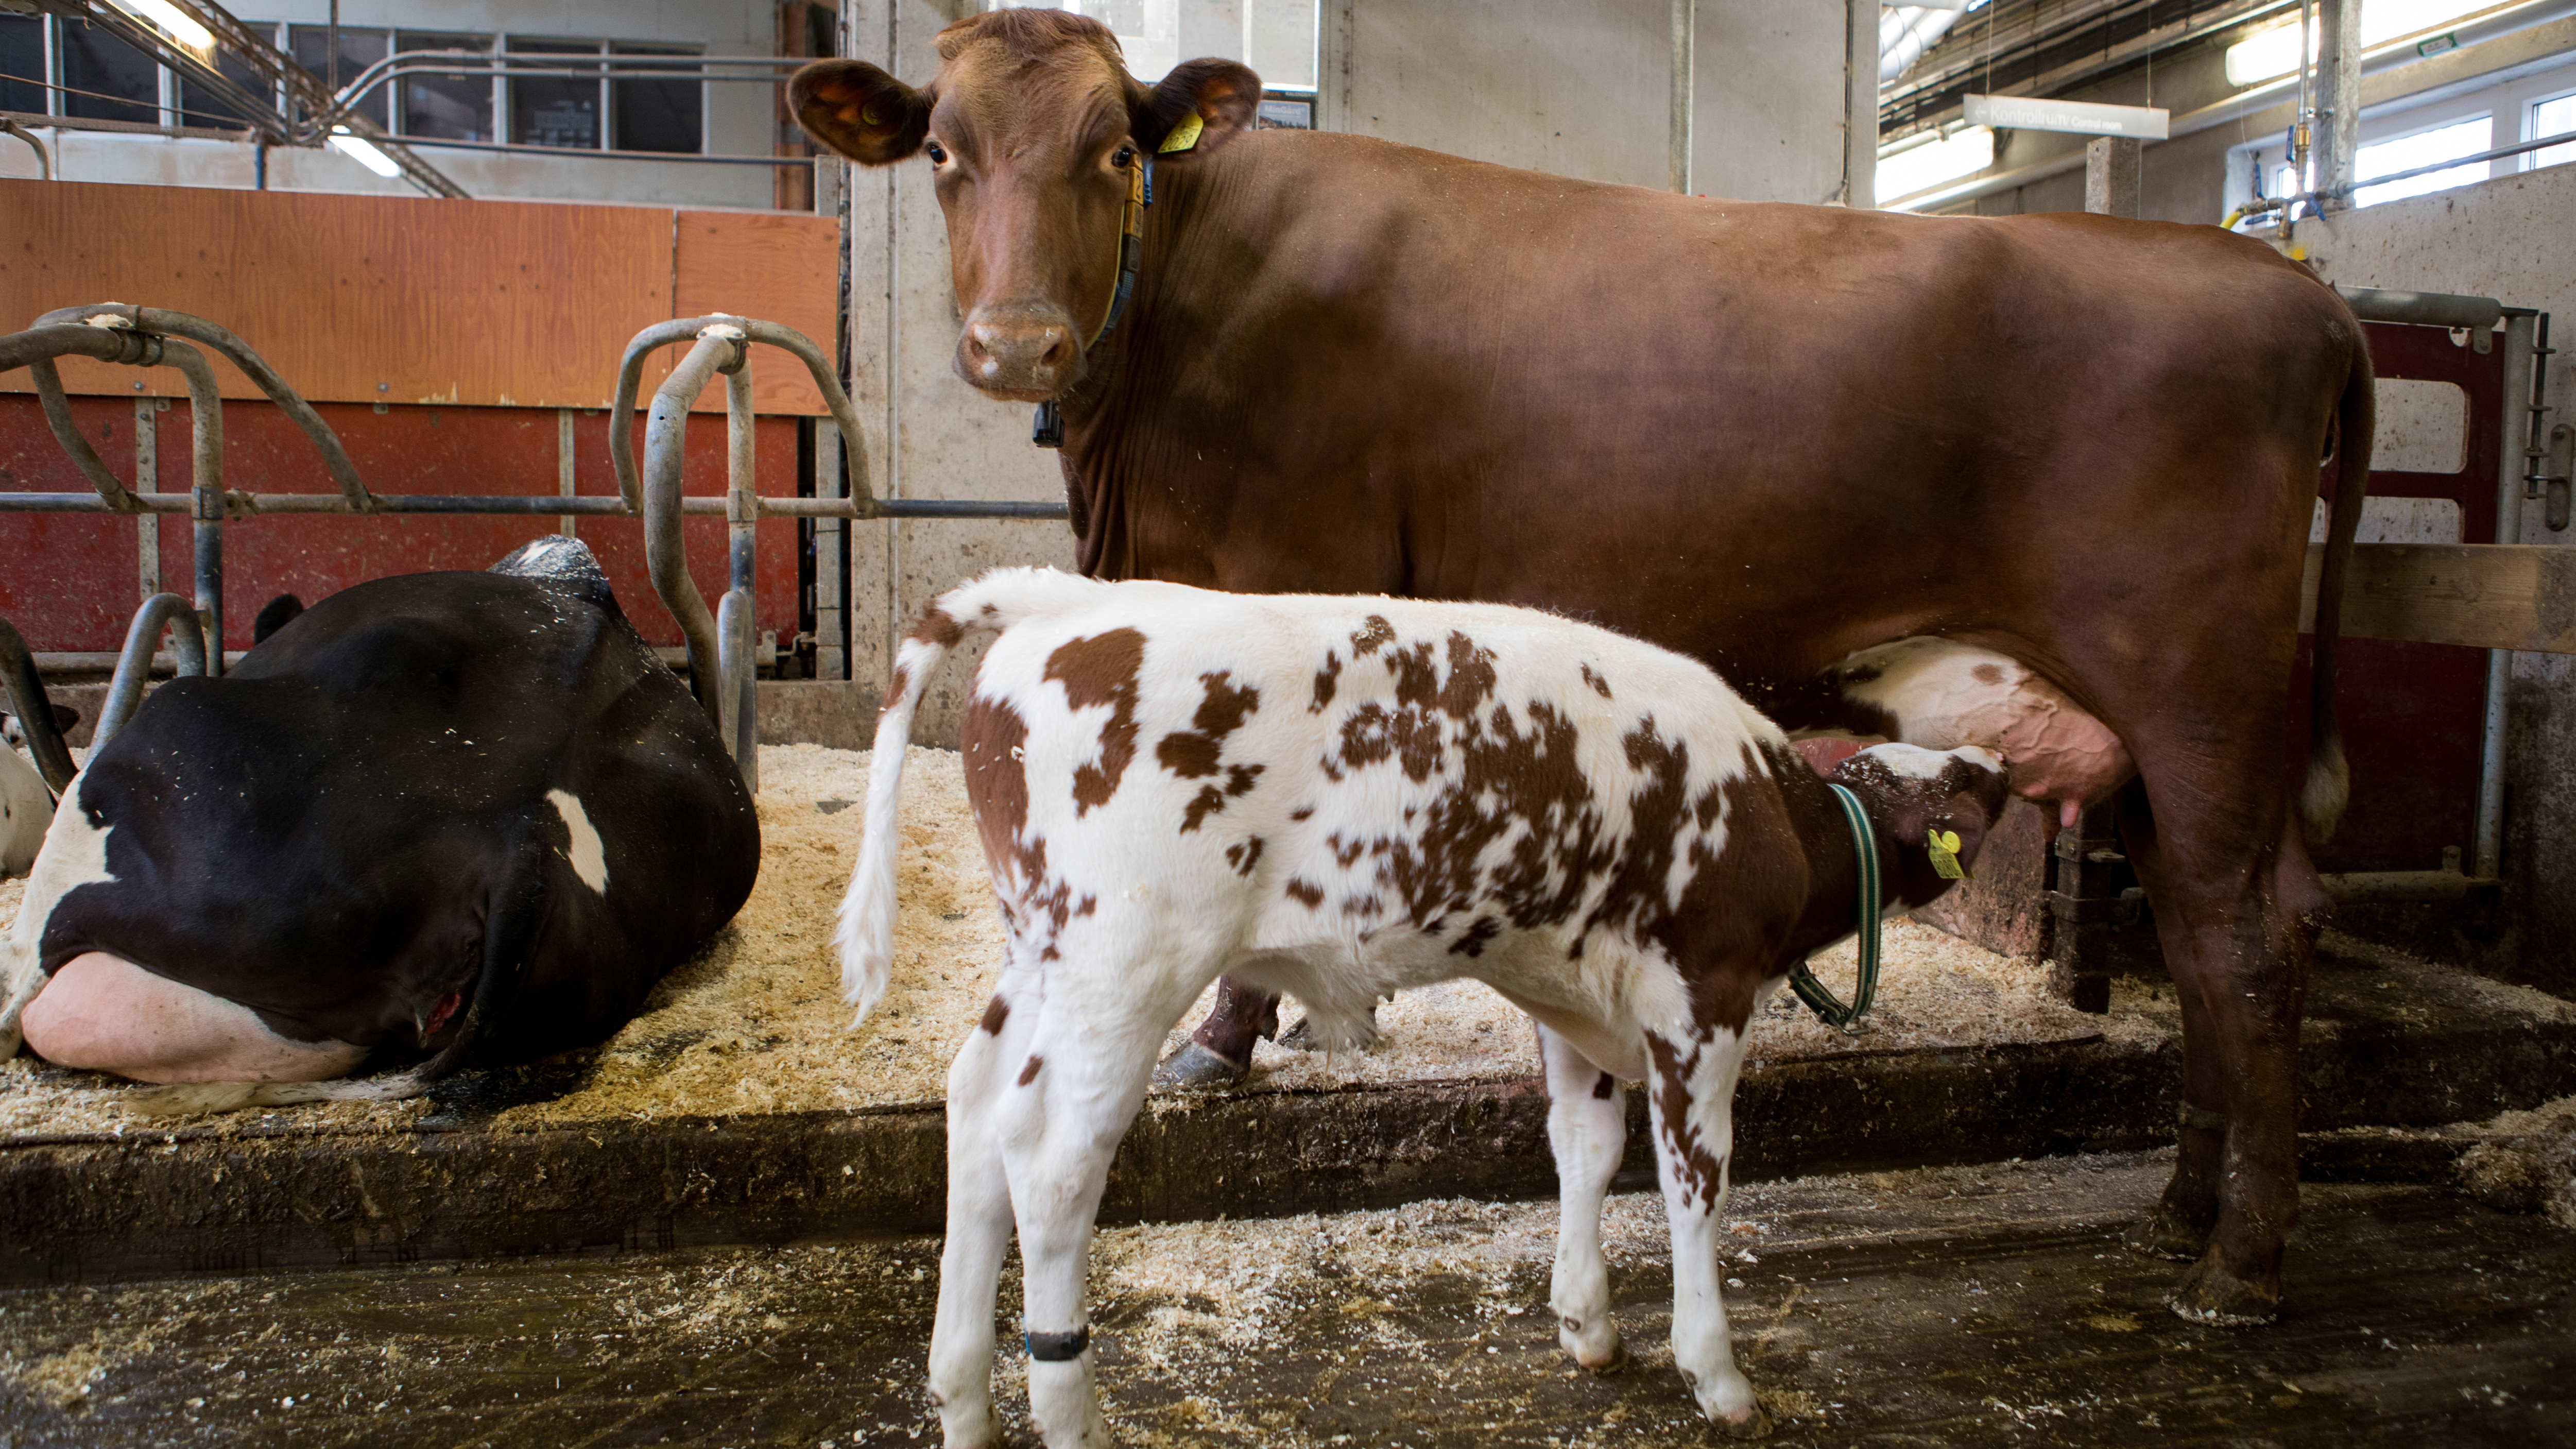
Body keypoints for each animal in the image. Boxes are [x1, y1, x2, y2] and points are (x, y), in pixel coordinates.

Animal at [788, 9, 2373, 1325]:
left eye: (1114, 148)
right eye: (942, 152)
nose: (1015, 344)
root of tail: (2281, 281)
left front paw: (1231, 1034)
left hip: (2199, 683)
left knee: (2246, 938)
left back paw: (2239, 1264)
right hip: (2157, 733)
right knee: (2204, 929)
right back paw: (2180, 1206)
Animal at [839, 567, 2010, 1444]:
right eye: (1955, 786)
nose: (2002, 756)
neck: (1770, 809)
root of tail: (1066, 598)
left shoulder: (1572, 995)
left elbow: (1583, 1149)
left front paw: (1586, 1320)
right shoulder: (1703, 996)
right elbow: (1695, 1182)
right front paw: (1714, 1371)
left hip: (1040, 951)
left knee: (973, 1112)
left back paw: (965, 1399)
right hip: (1125, 963)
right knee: (1049, 1161)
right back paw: (1067, 1413)